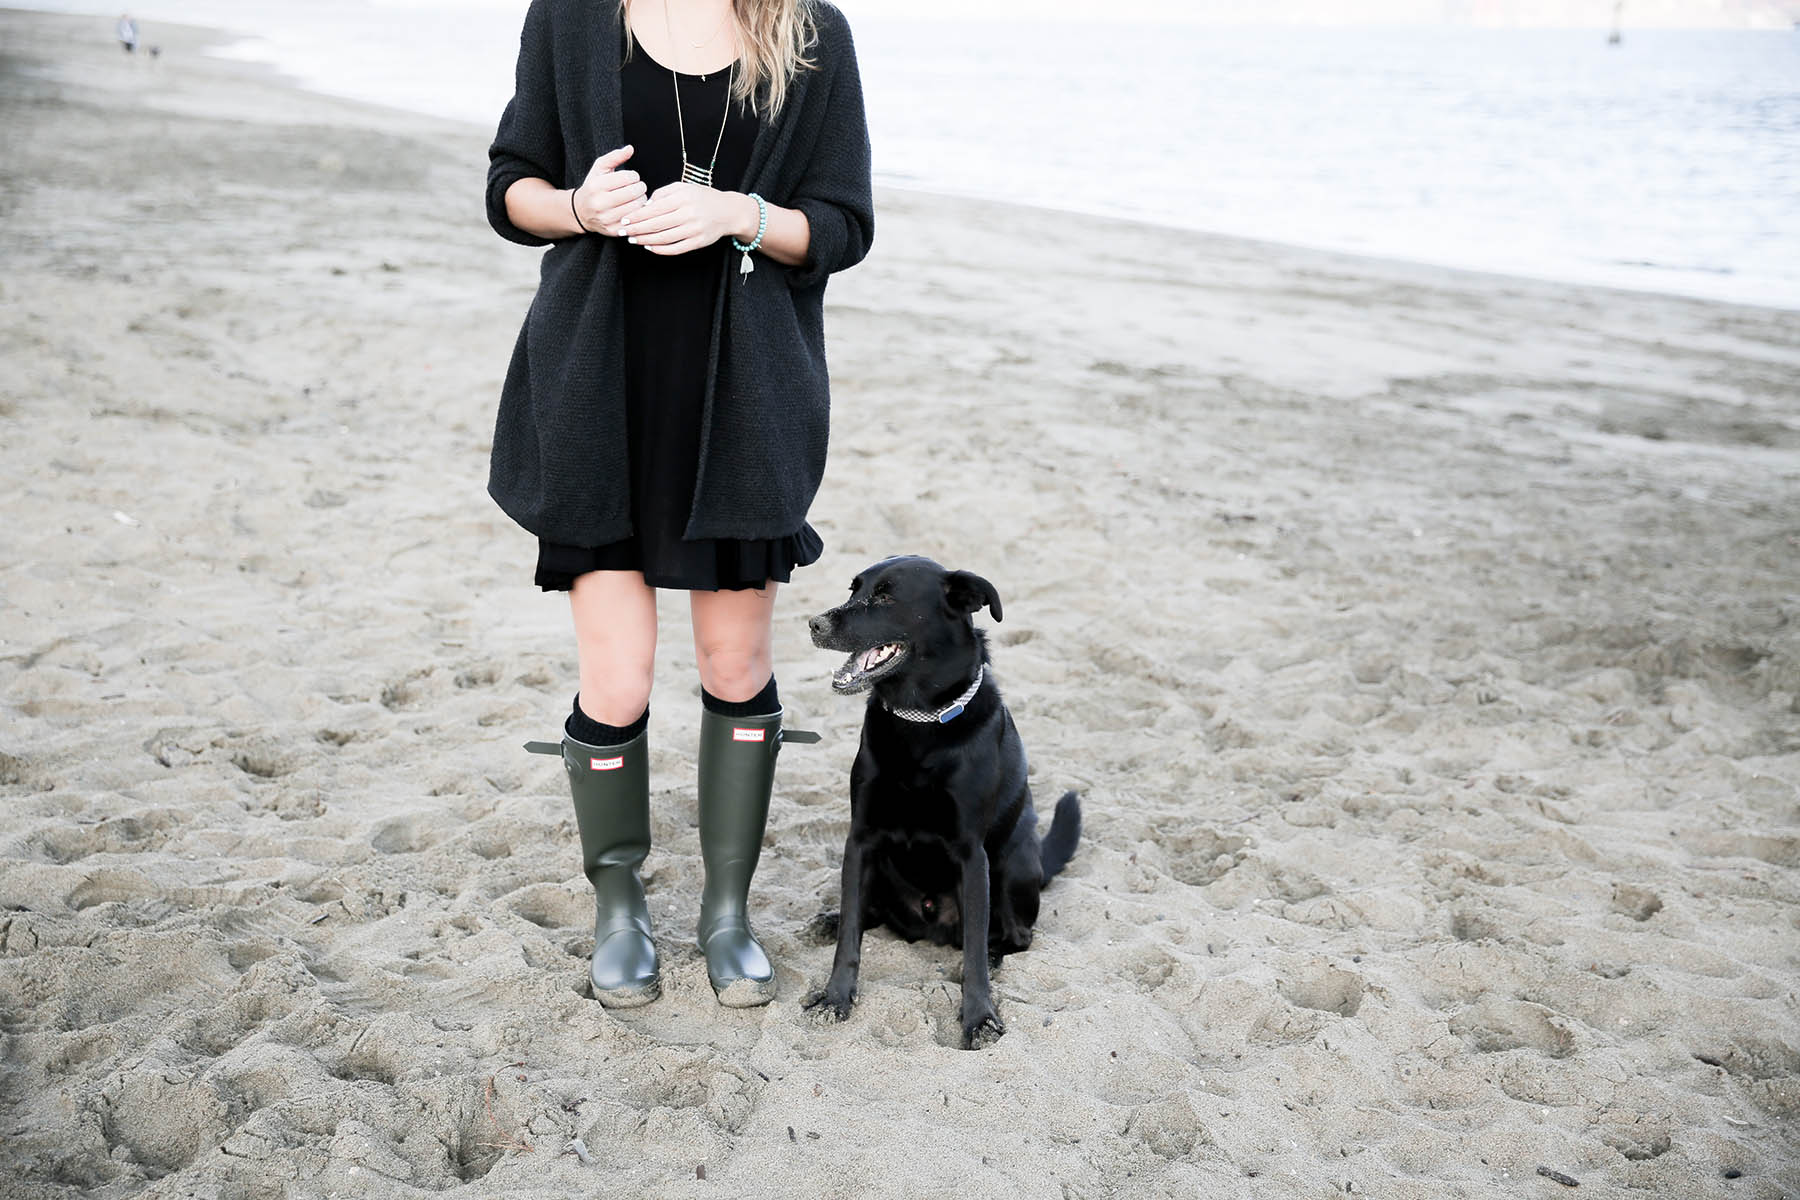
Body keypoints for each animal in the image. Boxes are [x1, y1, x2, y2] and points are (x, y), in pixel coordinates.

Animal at [806, 557, 1080, 1043]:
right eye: (854, 590)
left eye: (886, 596)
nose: (815, 624)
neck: (919, 723)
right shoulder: (861, 841)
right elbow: (850, 935)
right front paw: (836, 997)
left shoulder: (972, 855)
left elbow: (972, 949)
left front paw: (979, 1017)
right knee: (868, 913)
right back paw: (832, 919)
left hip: (1013, 863)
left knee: (1015, 935)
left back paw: (995, 952)